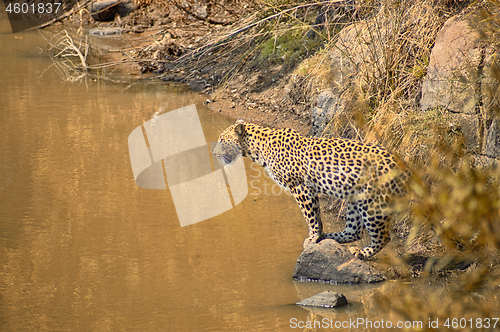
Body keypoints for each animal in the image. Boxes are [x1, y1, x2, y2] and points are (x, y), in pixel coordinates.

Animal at [213, 119, 412, 260]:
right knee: (354, 230)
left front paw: (312, 237)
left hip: (371, 203)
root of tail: (406, 167)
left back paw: (362, 252)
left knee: (383, 236)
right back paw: (329, 237)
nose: (214, 154)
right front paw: (317, 236)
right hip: (354, 198)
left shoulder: (300, 187)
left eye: (222, 140)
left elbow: (310, 216)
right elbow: (316, 214)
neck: (258, 148)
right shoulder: (310, 189)